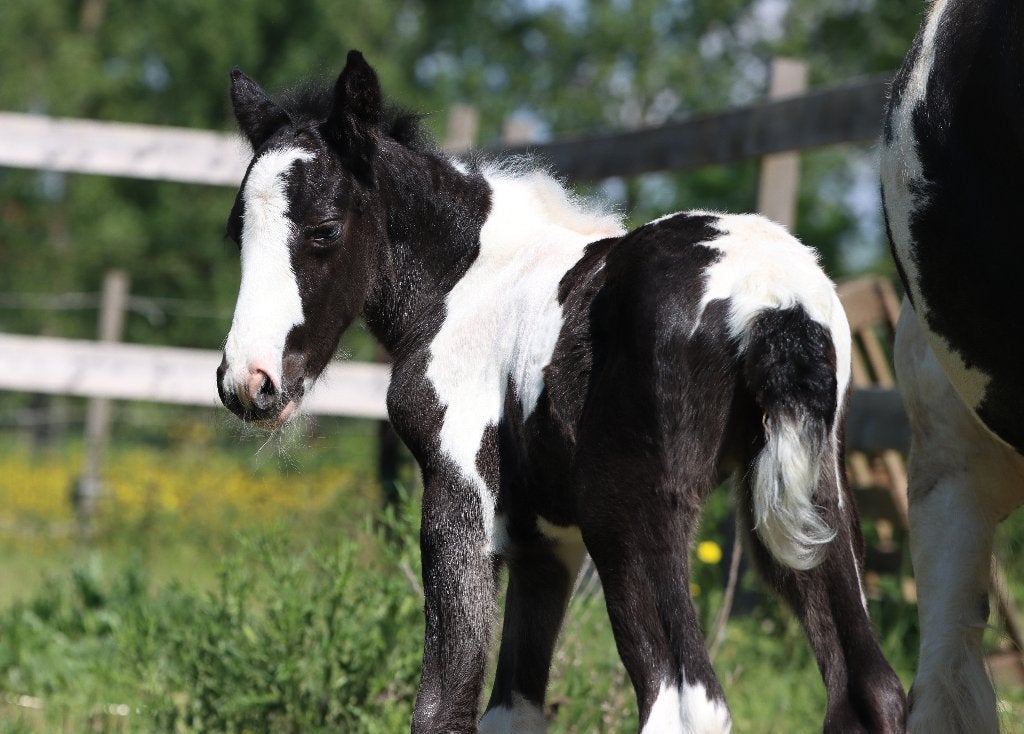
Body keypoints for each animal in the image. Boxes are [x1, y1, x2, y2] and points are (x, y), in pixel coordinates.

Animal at [215, 50, 906, 733]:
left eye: (325, 231)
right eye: (235, 233)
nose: (248, 382)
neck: (466, 280)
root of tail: (773, 301)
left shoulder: (461, 495)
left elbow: (443, 704)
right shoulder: (546, 546)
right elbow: (511, 708)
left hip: (627, 516)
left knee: (685, 701)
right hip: (813, 505)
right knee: (868, 688)